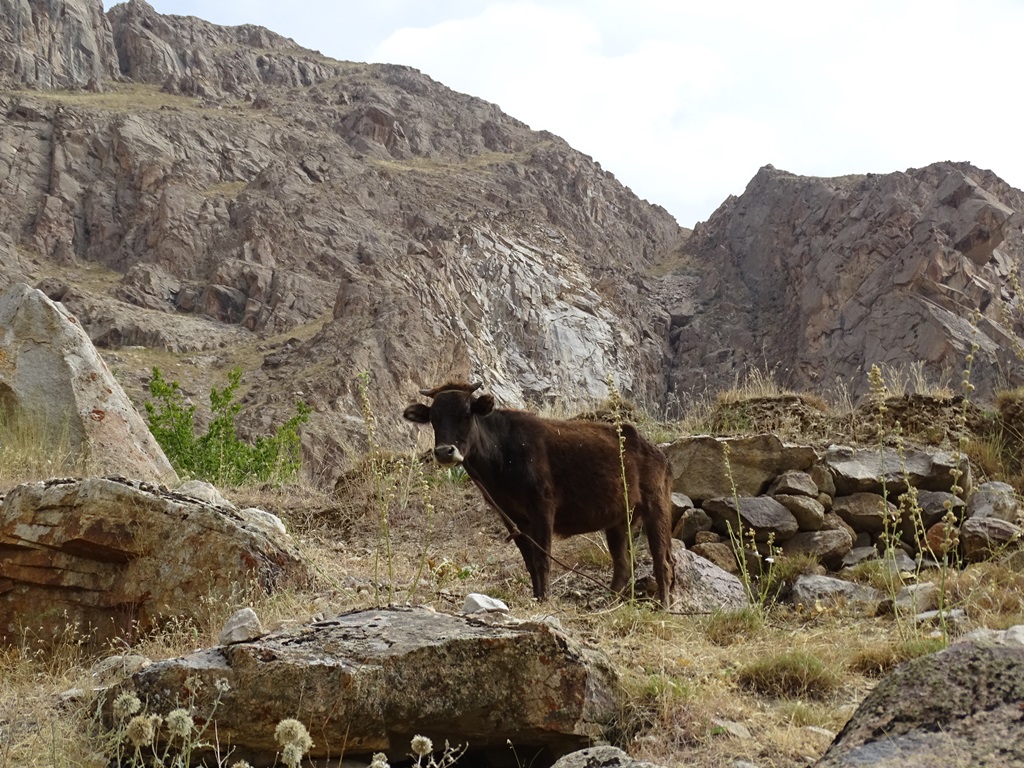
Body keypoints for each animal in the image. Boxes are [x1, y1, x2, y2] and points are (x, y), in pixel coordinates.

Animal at [403, 382, 675, 610]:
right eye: (433, 418)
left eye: (466, 413)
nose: (444, 452)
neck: (502, 454)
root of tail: (653, 449)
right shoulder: (512, 517)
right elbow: (530, 561)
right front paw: (536, 597)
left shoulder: (542, 506)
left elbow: (542, 557)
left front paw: (544, 599)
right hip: (619, 521)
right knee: (625, 565)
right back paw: (609, 604)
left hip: (656, 507)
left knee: (662, 562)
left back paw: (664, 606)